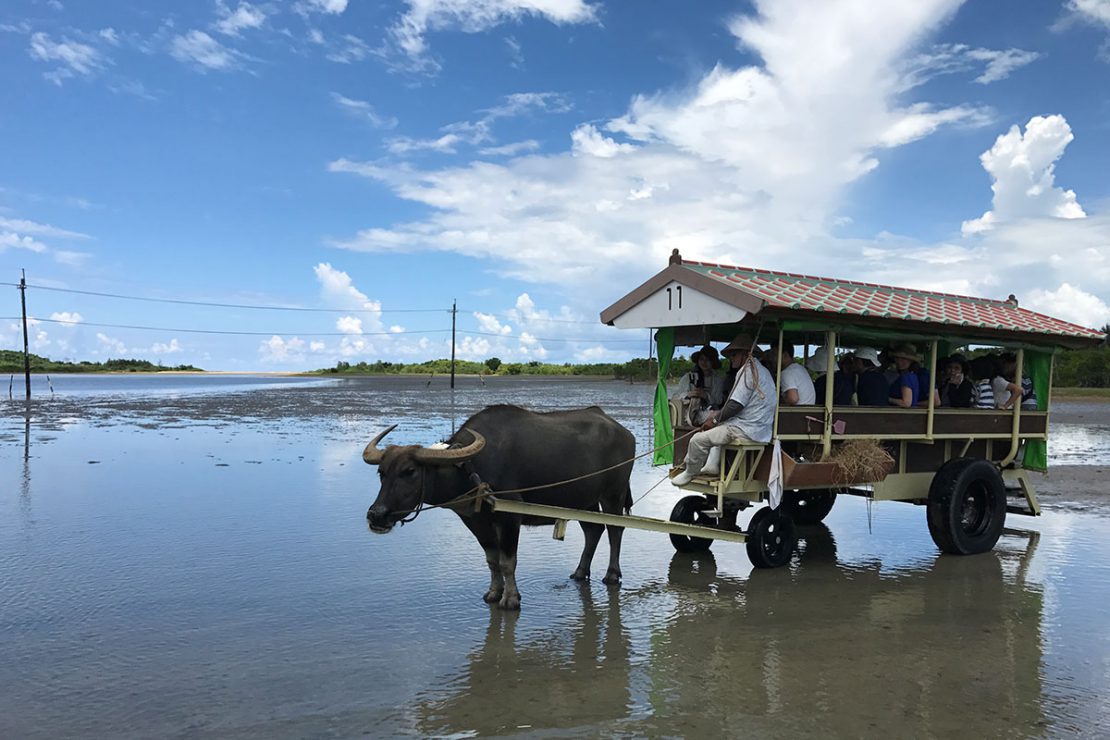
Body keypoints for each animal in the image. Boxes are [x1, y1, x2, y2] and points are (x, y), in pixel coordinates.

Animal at [364, 408, 634, 612]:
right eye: (382, 472)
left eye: (409, 471)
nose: (376, 515)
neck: (471, 468)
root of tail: (624, 433)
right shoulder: (476, 521)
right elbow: (492, 560)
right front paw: (494, 592)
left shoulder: (510, 518)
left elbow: (507, 562)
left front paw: (511, 599)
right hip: (584, 501)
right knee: (593, 530)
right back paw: (580, 572)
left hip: (613, 494)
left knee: (615, 531)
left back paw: (612, 575)